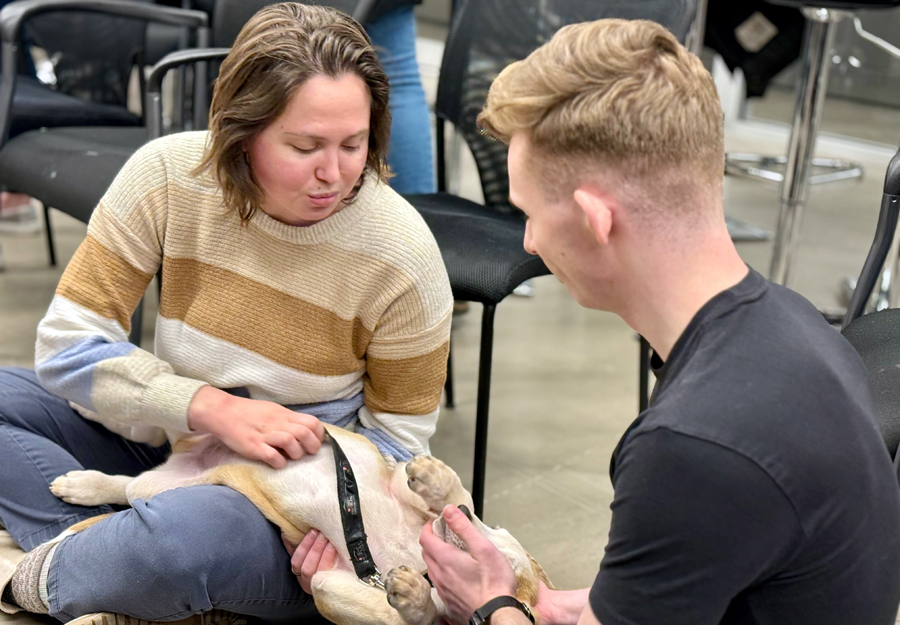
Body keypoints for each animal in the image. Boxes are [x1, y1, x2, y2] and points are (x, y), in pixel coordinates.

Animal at [52, 424, 552, 624]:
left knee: (129, 488)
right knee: (125, 485)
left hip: (168, 486)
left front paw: (415, 599)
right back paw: (80, 484)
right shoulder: (401, 490)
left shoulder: (333, 582)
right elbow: (461, 501)